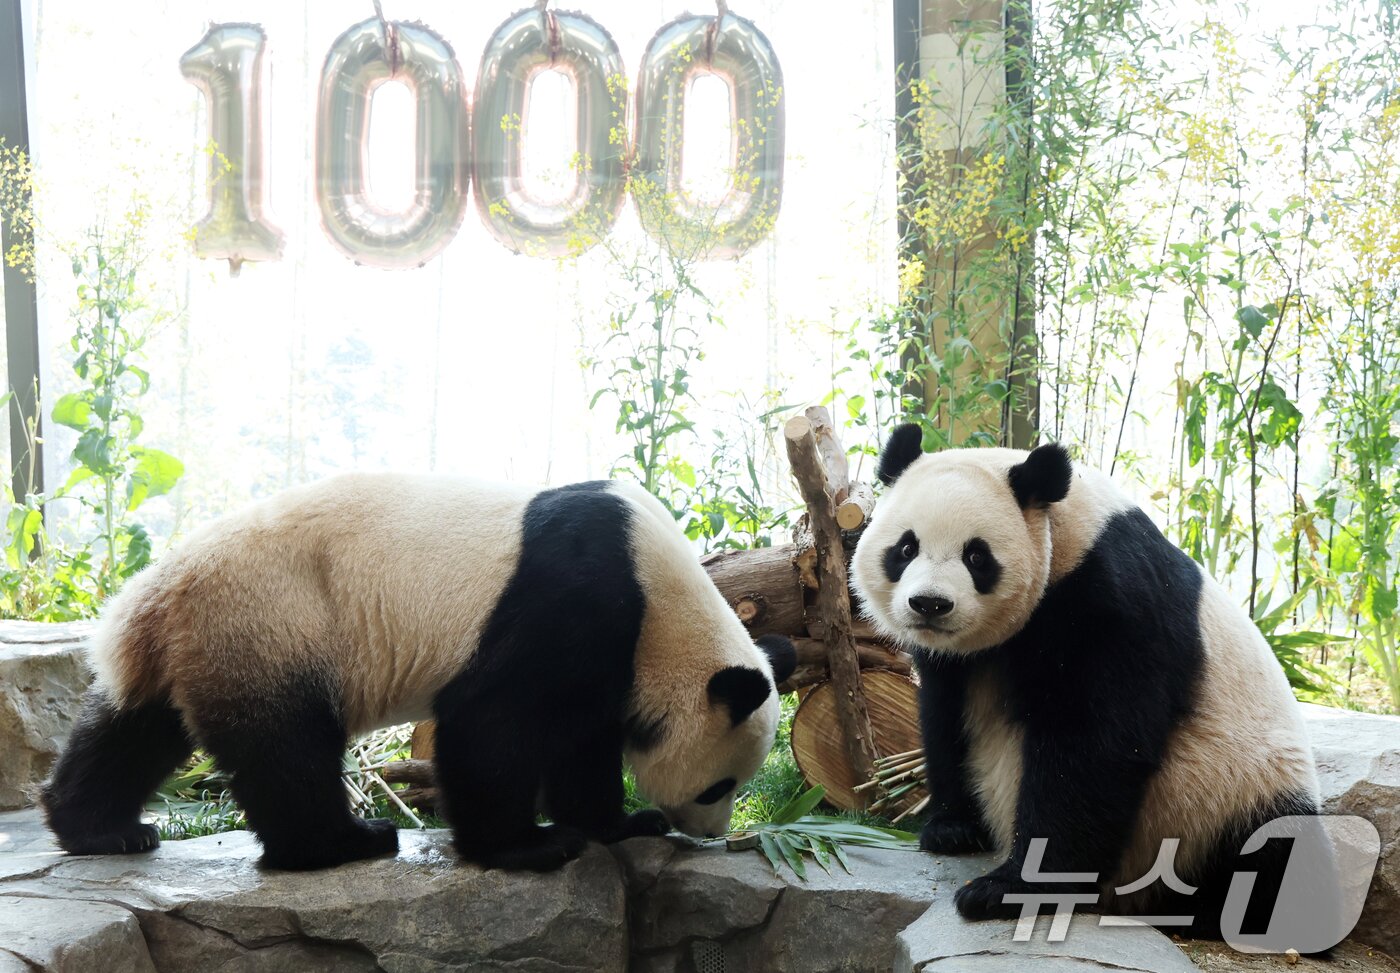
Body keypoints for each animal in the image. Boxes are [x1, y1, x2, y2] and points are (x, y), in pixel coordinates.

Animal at [42, 475, 796, 872]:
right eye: (721, 783)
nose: (711, 831)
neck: (665, 602)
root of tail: (158, 593)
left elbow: (581, 742)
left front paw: (621, 823)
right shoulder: (574, 599)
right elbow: (494, 722)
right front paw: (527, 845)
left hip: (204, 644)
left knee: (132, 729)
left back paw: (102, 829)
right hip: (272, 620)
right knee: (286, 748)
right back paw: (343, 842)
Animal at [850, 425, 1323, 938]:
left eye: (977, 556)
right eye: (905, 548)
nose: (930, 604)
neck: (1065, 531)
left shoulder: (1112, 598)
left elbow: (1093, 745)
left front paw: (1006, 890)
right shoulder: (954, 662)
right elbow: (942, 718)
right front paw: (952, 828)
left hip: (1234, 792)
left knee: (1268, 860)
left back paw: (1223, 913)